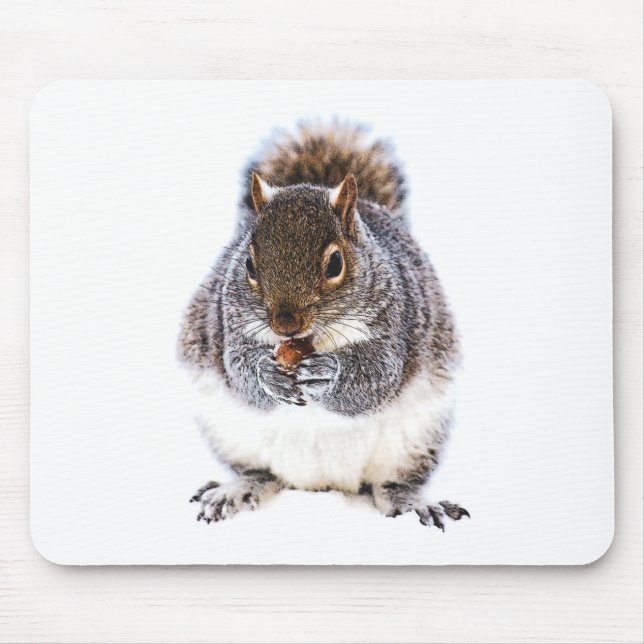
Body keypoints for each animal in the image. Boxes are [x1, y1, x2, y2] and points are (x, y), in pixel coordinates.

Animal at [179, 122, 469, 530]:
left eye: (335, 264)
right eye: (248, 264)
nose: (285, 325)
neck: (311, 340)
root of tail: (322, 483)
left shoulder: (397, 324)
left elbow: (377, 379)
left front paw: (329, 374)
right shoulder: (228, 325)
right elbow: (239, 371)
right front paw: (267, 374)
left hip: (415, 439)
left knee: (392, 483)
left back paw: (412, 502)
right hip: (230, 434)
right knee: (261, 472)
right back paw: (236, 489)